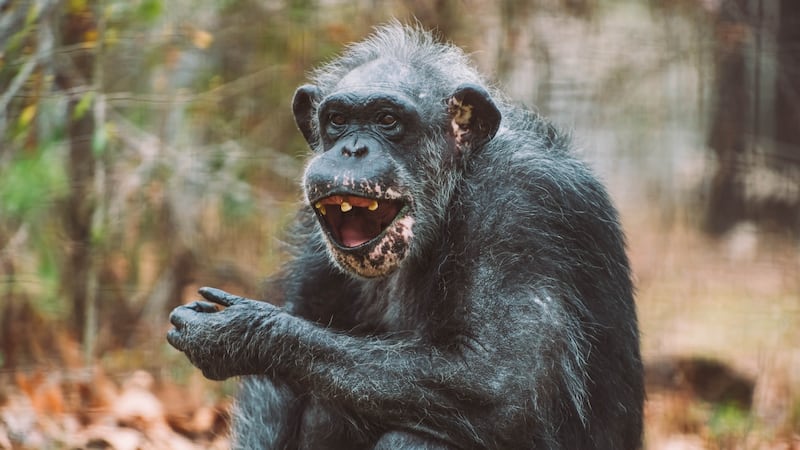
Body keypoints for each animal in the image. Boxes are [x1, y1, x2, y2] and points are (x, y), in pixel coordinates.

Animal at [167, 23, 644, 449]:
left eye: (387, 119)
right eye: (337, 119)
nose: (352, 149)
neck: (455, 185)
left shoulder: (521, 209)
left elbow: (503, 384)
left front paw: (240, 333)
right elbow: (280, 378)